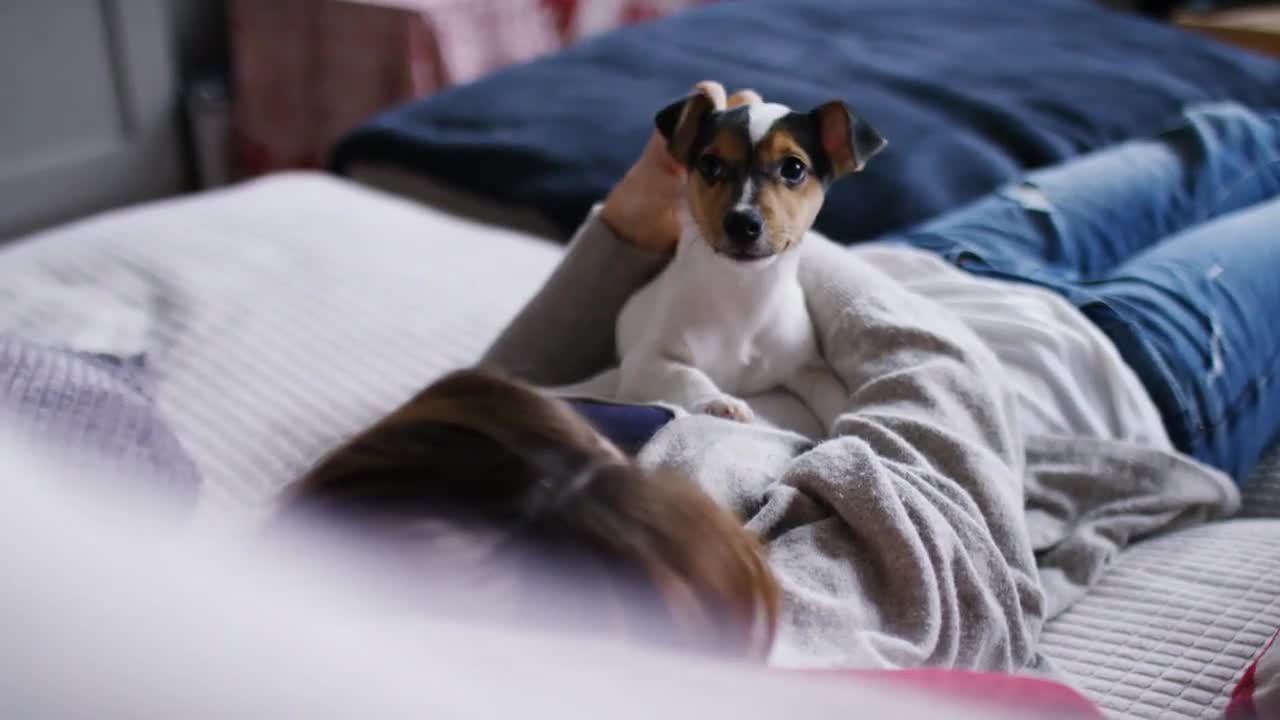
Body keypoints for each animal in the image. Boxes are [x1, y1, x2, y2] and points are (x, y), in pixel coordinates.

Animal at [614, 85, 885, 420]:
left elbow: (832, 394)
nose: (742, 223)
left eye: (794, 168)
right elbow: (686, 375)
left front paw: (845, 416)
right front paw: (720, 402)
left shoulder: (808, 369)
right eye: (709, 165)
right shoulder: (645, 363)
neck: (743, 293)